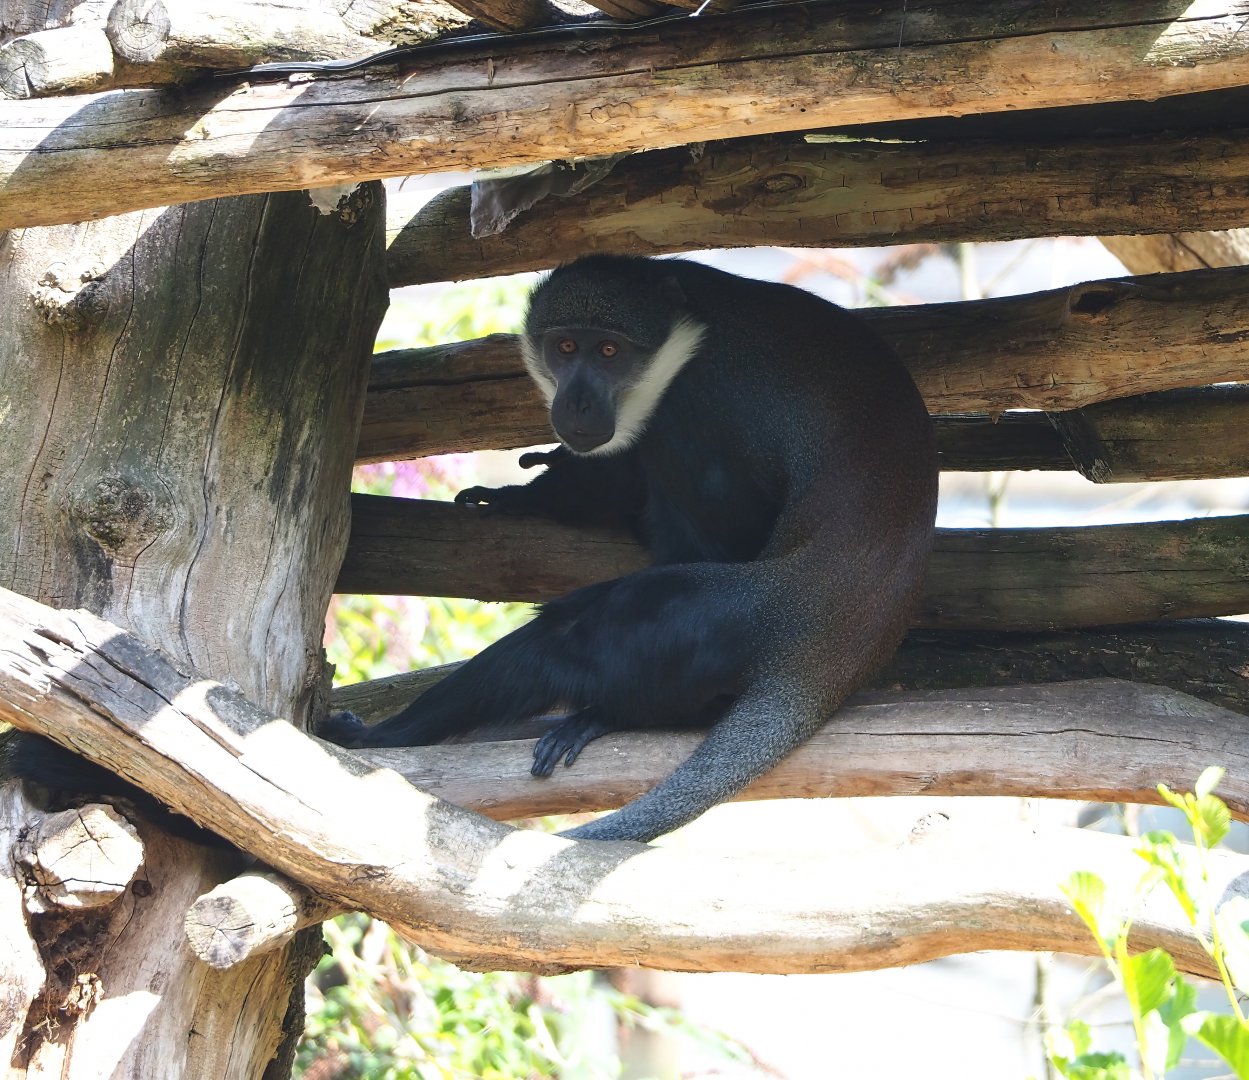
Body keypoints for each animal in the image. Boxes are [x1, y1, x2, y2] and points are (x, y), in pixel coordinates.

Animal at [323, 254, 938, 844]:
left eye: (610, 351)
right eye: (565, 347)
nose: (577, 402)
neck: (690, 325)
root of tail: (827, 649)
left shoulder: (696, 403)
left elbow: (714, 526)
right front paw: (520, 497)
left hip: (725, 617)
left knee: (569, 635)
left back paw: (388, 735)